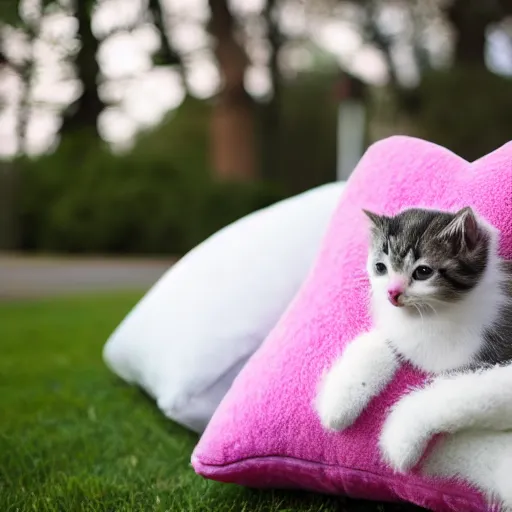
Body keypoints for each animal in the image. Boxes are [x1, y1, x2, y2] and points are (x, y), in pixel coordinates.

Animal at [316, 206, 512, 434]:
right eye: (380, 267)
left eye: (423, 272)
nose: (392, 292)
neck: (432, 313)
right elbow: (376, 344)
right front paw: (338, 406)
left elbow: (461, 395)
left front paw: (398, 434)